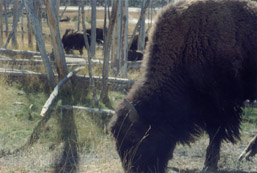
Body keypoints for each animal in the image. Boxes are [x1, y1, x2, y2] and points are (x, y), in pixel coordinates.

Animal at [109, 0, 256, 172]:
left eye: (133, 136)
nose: (134, 169)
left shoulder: (220, 104)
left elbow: (215, 133)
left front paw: (209, 164)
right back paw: (246, 154)